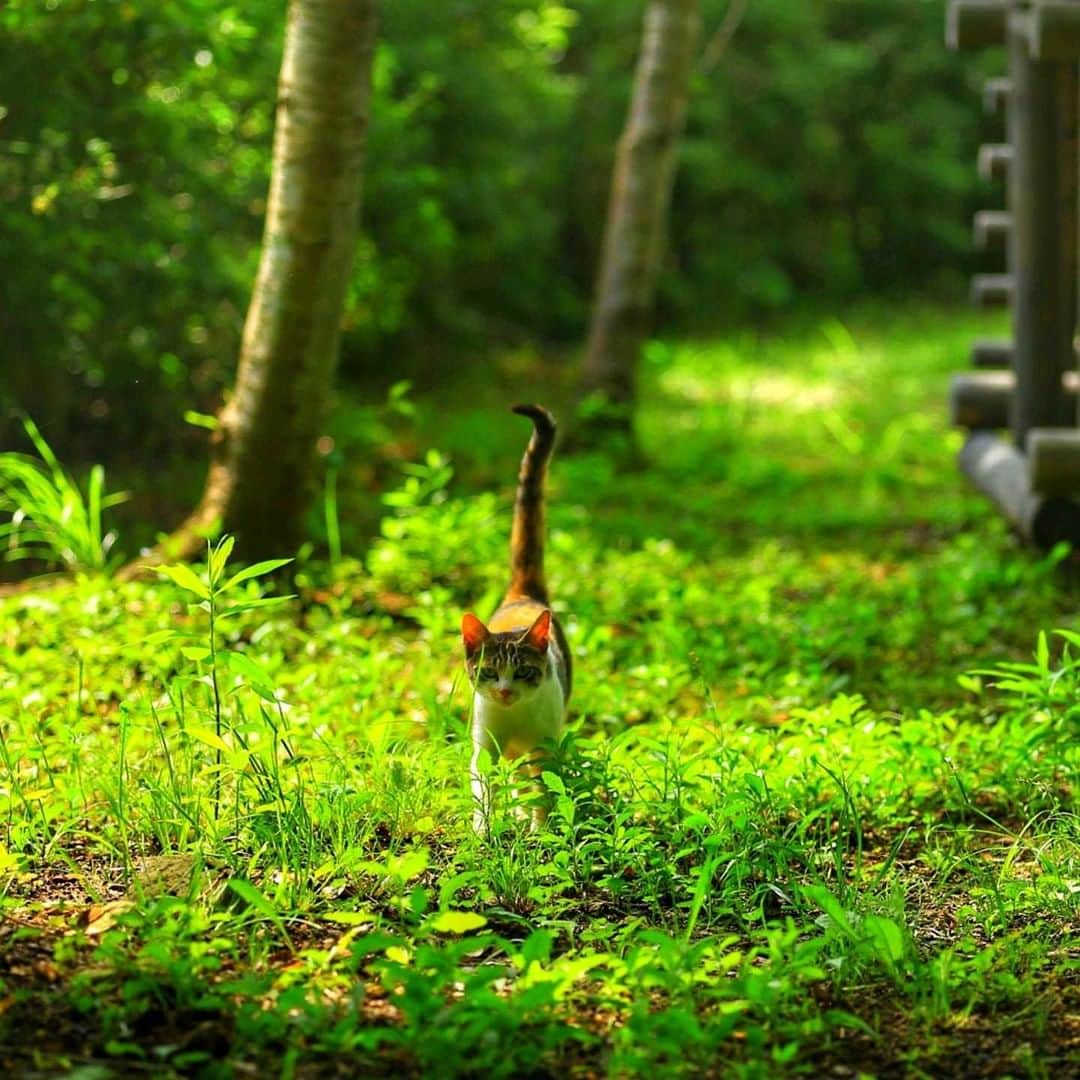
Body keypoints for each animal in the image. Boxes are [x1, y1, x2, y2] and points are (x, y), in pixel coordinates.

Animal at [460, 401, 570, 829]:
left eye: (523, 671)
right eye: (489, 672)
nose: (505, 692)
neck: (516, 716)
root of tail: (522, 594)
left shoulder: (546, 745)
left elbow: (545, 786)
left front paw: (541, 829)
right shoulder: (485, 745)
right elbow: (483, 786)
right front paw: (483, 830)